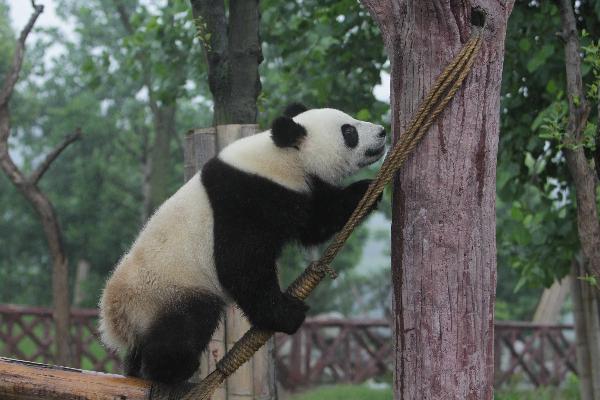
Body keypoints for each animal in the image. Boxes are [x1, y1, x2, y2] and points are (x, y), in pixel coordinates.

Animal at [99, 104, 384, 384]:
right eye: (348, 131)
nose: (382, 131)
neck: (281, 157)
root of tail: (115, 319)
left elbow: (317, 220)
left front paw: (367, 190)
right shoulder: (244, 200)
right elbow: (241, 266)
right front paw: (287, 314)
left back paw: (137, 369)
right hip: (168, 292)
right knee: (185, 326)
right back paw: (172, 372)